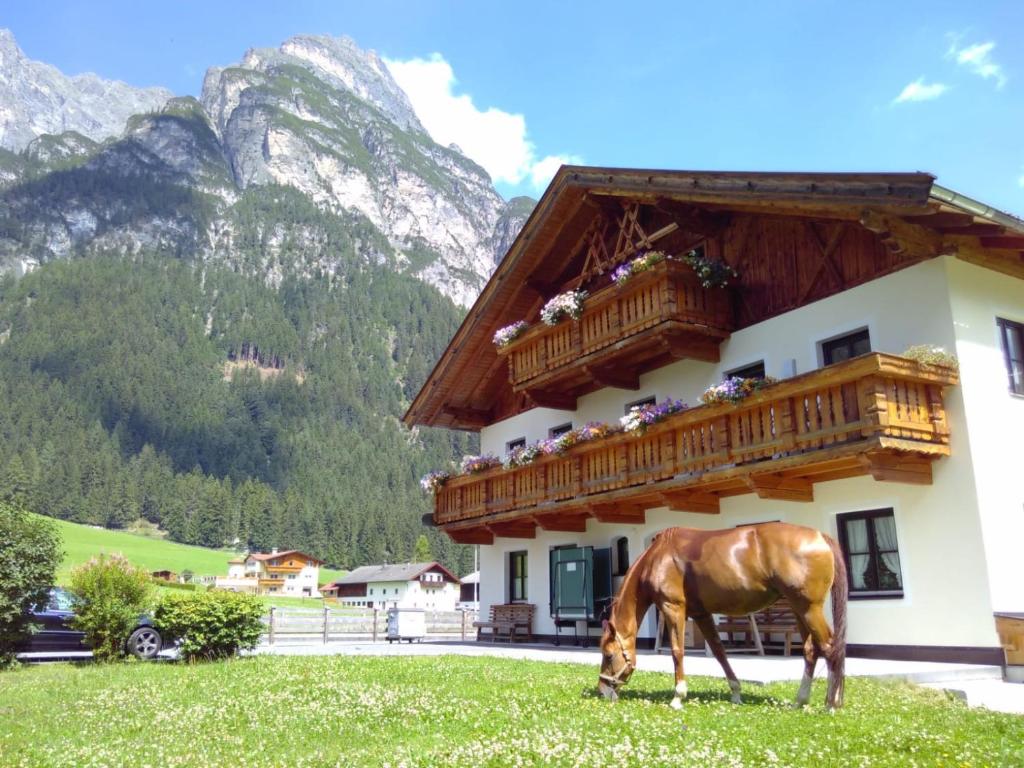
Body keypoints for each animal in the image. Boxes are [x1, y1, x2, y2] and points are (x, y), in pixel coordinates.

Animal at [598, 524, 843, 708]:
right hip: (799, 609)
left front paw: (678, 696)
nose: (602, 690)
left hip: (809, 609)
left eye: (609, 655)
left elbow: (677, 651)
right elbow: (719, 651)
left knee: (829, 647)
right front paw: (736, 692)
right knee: (811, 651)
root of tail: (820, 536)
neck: (658, 557)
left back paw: (832, 704)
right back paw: (801, 701)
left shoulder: (672, 608)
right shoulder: (701, 614)